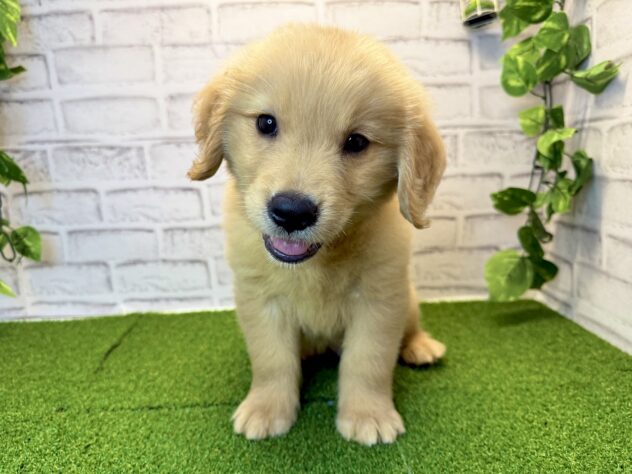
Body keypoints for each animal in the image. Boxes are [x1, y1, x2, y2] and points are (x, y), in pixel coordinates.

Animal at [188, 24, 446, 446]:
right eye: (266, 123)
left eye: (357, 142)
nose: (292, 211)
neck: (318, 260)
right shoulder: (259, 300)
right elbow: (271, 360)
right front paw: (266, 409)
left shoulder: (379, 300)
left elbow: (368, 361)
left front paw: (368, 415)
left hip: (407, 300)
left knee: (410, 327)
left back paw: (421, 346)